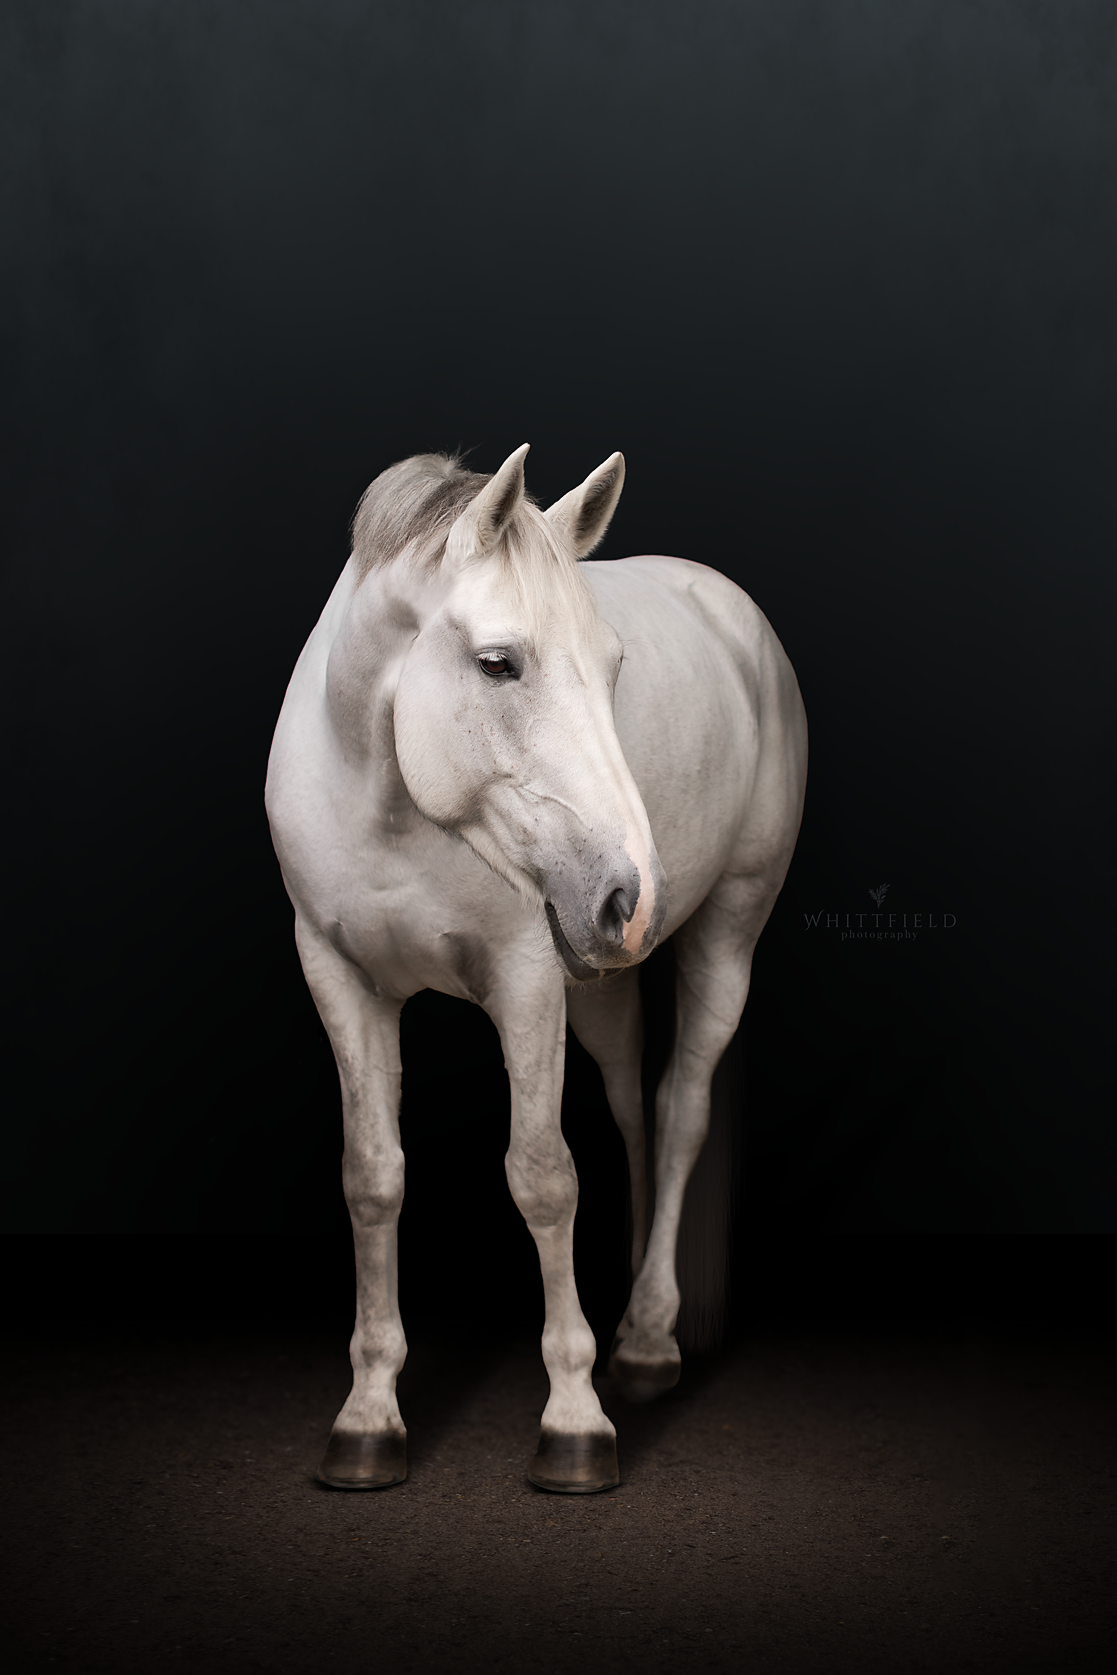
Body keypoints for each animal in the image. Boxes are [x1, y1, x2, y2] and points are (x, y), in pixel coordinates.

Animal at [265, 444, 807, 1494]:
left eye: (613, 668)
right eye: (497, 663)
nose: (631, 894)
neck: (392, 805)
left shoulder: (524, 981)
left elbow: (543, 1176)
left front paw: (574, 1417)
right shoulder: (339, 976)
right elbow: (373, 1177)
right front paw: (368, 1415)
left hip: (723, 934)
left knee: (680, 1109)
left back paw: (646, 1338)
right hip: (598, 983)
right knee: (634, 1107)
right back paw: (634, 1301)